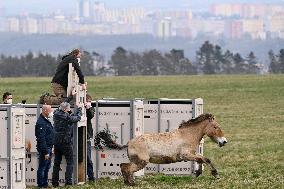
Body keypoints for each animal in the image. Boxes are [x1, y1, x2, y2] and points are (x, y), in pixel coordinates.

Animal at [95, 113, 229, 185]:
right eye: (216, 127)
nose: (224, 142)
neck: (187, 135)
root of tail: (128, 143)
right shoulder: (186, 155)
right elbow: (205, 159)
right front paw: (215, 175)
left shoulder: (193, 154)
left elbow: (202, 160)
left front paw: (198, 173)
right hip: (141, 162)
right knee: (126, 168)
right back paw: (131, 183)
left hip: (137, 162)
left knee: (123, 166)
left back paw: (128, 182)